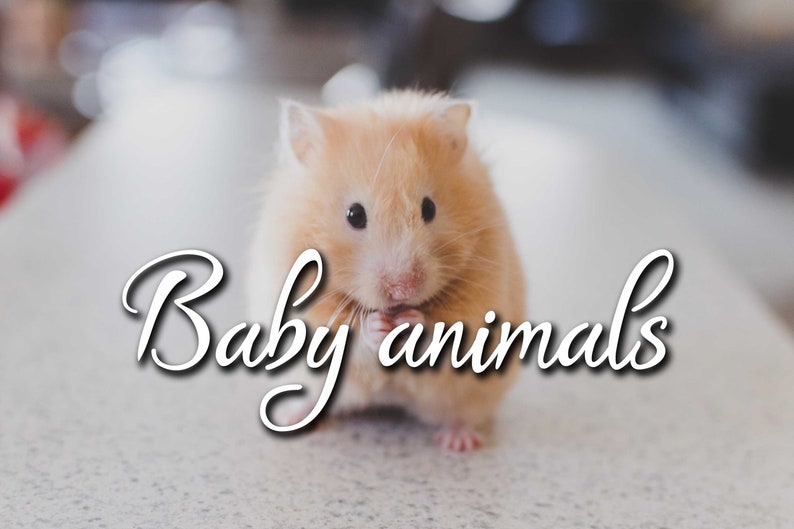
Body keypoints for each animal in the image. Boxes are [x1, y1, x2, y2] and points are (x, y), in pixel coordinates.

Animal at [247, 90, 526, 451]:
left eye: (429, 208)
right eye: (354, 214)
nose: (403, 289)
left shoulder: (482, 287)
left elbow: (449, 327)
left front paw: (411, 322)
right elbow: (344, 330)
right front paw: (377, 326)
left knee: (463, 413)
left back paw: (459, 441)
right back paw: (291, 417)